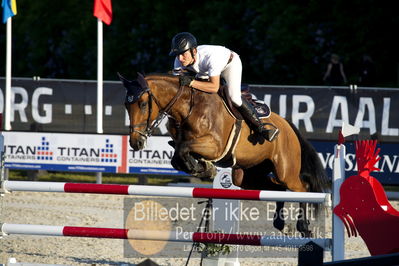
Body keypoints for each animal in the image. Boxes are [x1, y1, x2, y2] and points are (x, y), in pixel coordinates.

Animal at [120, 71, 330, 236]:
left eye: (143, 104)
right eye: (126, 106)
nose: (136, 142)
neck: (188, 107)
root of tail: (288, 125)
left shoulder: (215, 146)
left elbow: (183, 150)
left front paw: (205, 168)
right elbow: (177, 158)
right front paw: (202, 168)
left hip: (286, 171)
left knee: (302, 189)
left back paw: (304, 227)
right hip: (247, 175)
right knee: (276, 189)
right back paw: (282, 225)